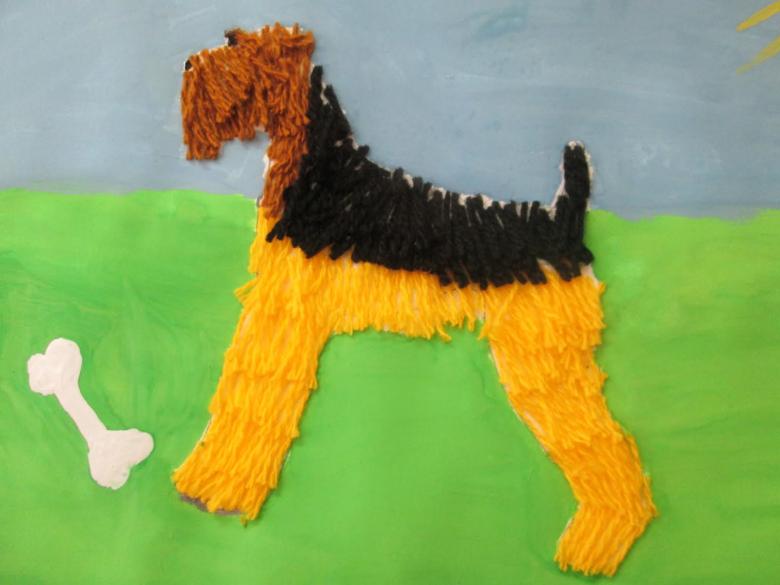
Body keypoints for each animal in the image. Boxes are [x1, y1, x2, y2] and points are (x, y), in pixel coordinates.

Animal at [174, 23, 656, 577]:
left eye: (234, 43)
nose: (187, 64)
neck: (323, 173)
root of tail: (564, 218)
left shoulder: (286, 312)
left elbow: (254, 400)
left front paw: (215, 488)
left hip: (545, 359)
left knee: (608, 448)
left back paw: (588, 549)